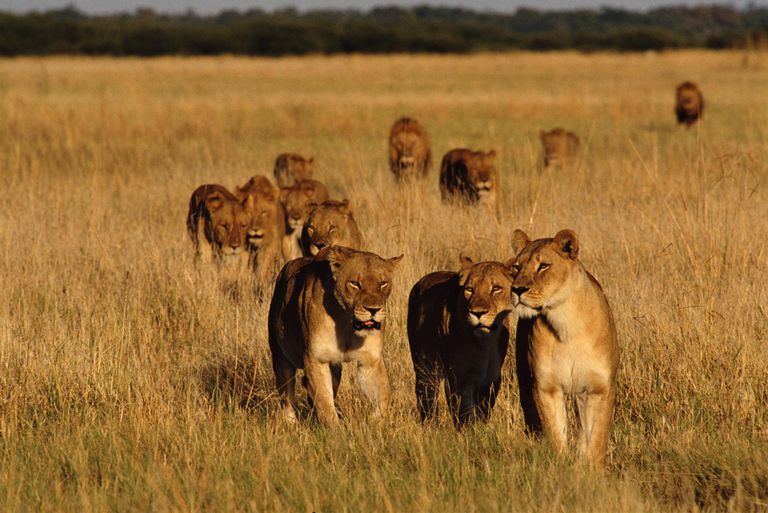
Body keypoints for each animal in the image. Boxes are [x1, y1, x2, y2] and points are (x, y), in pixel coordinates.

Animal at [268, 245, 403, 424]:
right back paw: (291, 423)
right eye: (355, 284)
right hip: (280, 357)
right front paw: (336, 429)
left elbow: (384, 395)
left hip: (336, 370)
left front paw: (373, 422)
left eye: (383, 284)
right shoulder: (316, 359)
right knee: (287, 396)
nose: (373, 310)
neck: (346, 323)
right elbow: (324, 402)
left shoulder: (370, 361)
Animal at [408, 255, 515, 428]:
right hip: (424, 364)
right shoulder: (458, 377)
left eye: (496, 288)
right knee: (426, 393)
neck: (484, 343)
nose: (478, 313)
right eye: (469, 289)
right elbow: (463, 411)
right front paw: (467, 431)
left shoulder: (492, 377)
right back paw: (431, 425)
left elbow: (483, 410)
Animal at [510, 229, 619, 469]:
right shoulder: (545, 387)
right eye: (516, 267)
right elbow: (556, 434)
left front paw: (591, 471)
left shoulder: (599, 388)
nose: (517, 289)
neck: (565, 322)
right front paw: (560, 468)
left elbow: (596, 439)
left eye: (543, 266)